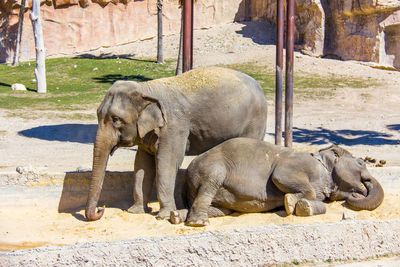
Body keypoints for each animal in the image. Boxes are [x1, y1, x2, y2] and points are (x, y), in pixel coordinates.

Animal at [85, 67, 268, 222]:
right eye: (98, 114)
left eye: (116, 119)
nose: (101, 210)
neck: (146, 88)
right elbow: (142, 165)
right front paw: (135, 211)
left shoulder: (174, 126)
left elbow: (167, 163)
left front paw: (164, 216)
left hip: (255, 120)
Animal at [170, 138, 384, 228]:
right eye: (361, 163)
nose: (358, 192)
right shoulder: (296, 164)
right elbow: (281, 177)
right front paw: (289, 203)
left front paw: (302, 207)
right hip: (212, 167)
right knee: (210, 183)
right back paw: (198, 223)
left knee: (223, 210)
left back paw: (177, 216)